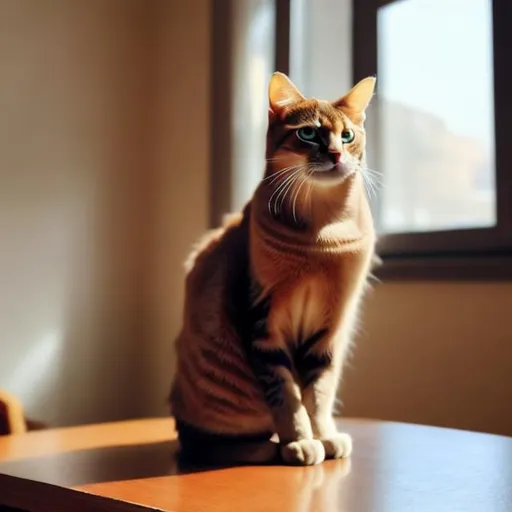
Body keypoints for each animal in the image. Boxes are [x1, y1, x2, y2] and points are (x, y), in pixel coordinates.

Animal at [171, 72, 376, 468]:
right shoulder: (262, 323)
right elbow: (286, 395)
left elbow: (319, 393)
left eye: (347, 136)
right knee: (203, 444)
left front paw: (324, 436)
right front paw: (300, 442)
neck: (321, 236)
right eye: (309, 133)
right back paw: (268, 447)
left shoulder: (330, 330)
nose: (336, 154)